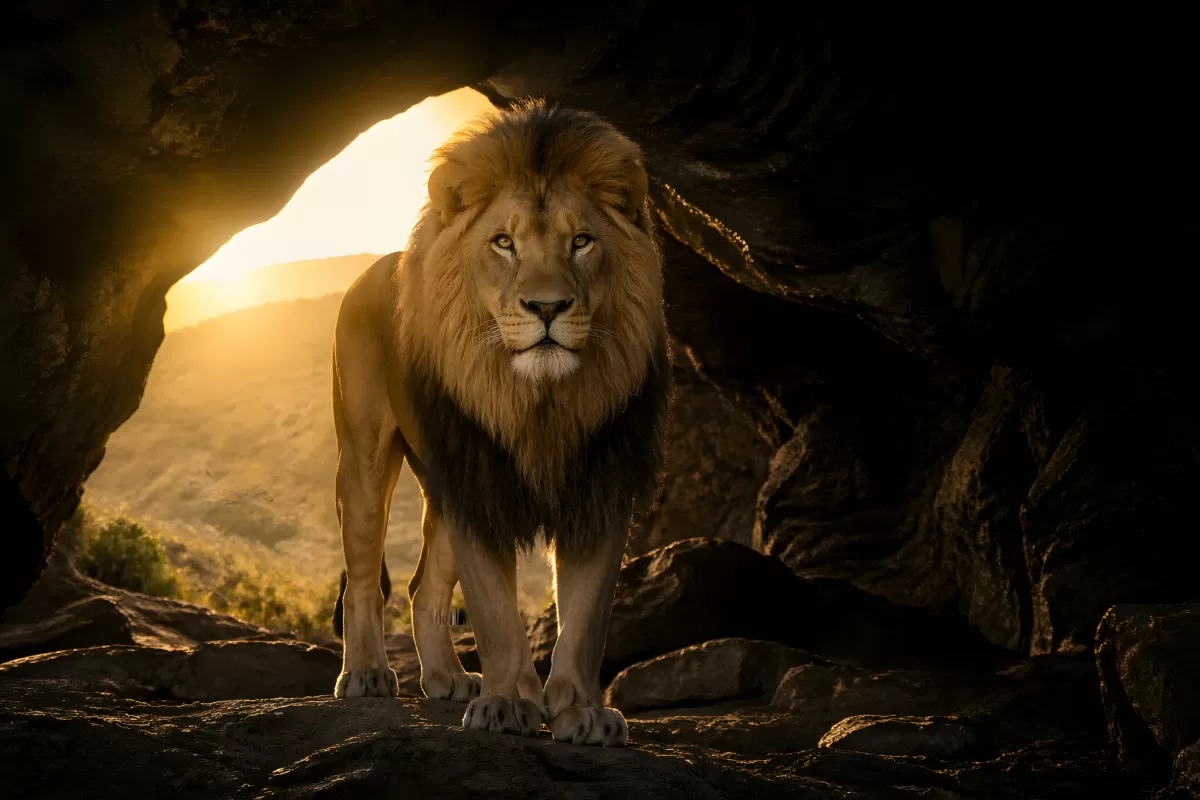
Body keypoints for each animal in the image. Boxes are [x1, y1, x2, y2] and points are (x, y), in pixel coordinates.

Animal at [330, 100, 671, 746]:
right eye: (504, 243)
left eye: (581, 241)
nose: (547, 307)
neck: (538, 401)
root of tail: (373, 266)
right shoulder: (480, 481)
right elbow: (492, 609)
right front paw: (508, 702)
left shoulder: (599, 483)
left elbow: (586, 617)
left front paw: (583, 712)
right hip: (365, 457)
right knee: (363, 576)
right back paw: (365, 673)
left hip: (443, 484)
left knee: (424, 587)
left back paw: (446, 677)